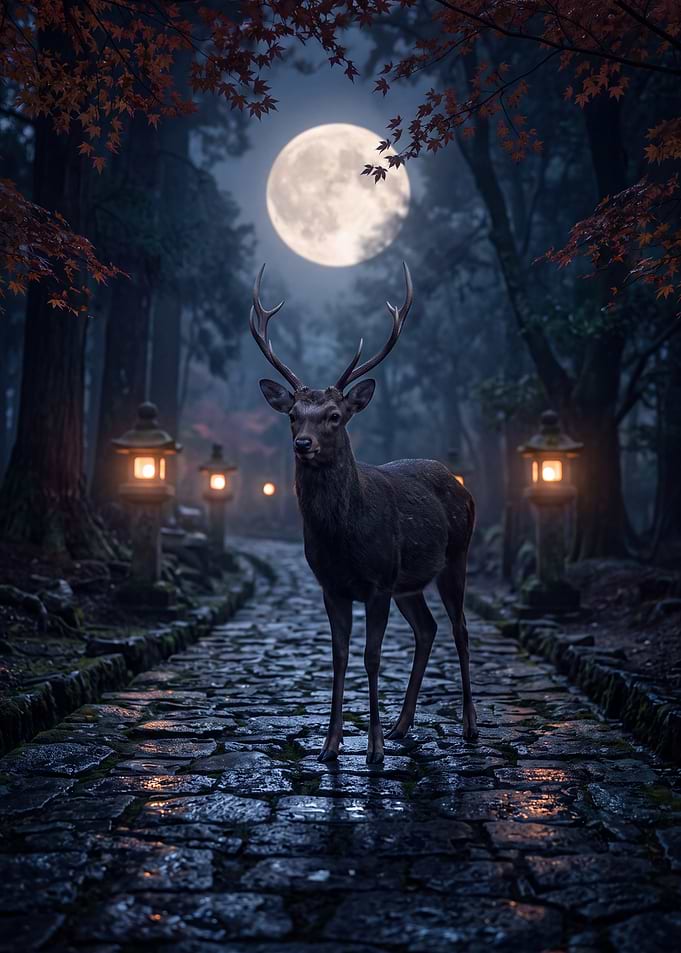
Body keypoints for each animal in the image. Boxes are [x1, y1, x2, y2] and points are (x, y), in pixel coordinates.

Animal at [250, 262, 478, 764]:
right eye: (293, 414)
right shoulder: (331, 585)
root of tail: (460, 484)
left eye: (334, 416)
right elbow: (339, 656)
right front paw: (331, 744)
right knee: (428, 628)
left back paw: (470, 727)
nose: (303, 444)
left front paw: (371, 747)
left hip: (456, 557)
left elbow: (372, 656)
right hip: (409, 582)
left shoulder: (377, 582)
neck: (344, 539)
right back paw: (401, 725)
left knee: (460, 629)